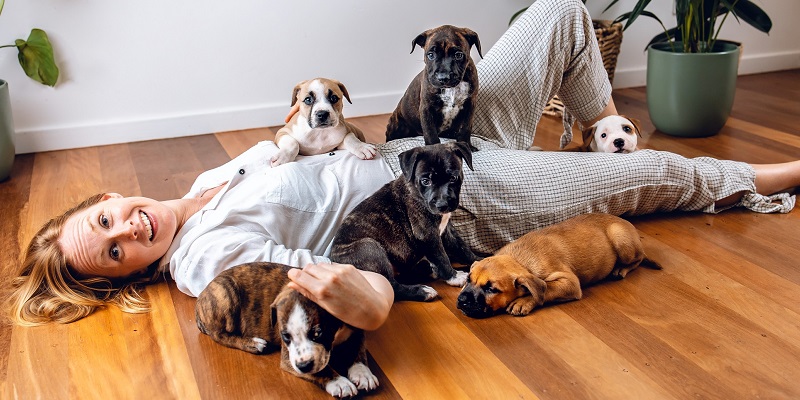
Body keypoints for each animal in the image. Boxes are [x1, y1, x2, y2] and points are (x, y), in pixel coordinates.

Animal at [195, 262, 380, 396]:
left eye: (318, 333)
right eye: (286, 337)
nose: (304, 365)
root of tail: (200, 301)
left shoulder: (355, 324)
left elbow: (358, 351)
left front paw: (363, 373)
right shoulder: (288, 358)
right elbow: (321, 370)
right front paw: (340, 382)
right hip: (225, 293)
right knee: (220, 335)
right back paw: (253, 343)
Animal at [330, 142, 478, 302]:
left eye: (453, 178)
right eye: (426, 181)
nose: (442, 204)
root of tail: (333, 260)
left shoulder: (446, 230)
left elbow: (462, 247)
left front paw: (480, 261)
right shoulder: (427, 234)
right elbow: (441, 256)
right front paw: (454, 277)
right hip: (369, 248)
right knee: (393, 287)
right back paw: (423, 291)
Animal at [460, 212, 660, 318]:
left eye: (491, 289)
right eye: (468, 279)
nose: (461, 300)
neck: (519, 260)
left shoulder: (570, 282)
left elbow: (545, 289)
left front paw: (523, 301)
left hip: (621, 239)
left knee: (638, 259)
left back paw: (621, 269)